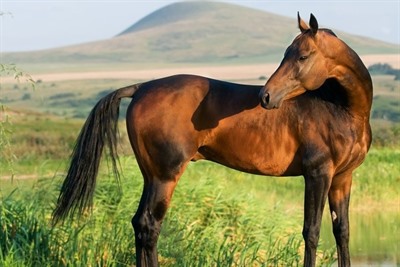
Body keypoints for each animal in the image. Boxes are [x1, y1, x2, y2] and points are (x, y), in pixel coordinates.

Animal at [52, 14, 372, 267]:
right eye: (287, 53)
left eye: (302, 56)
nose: (266, 96)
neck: (339, 107)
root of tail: (142, 87)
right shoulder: (317, 174)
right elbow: (312, 231)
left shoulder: (342, 178)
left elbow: (342, 231)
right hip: (165, 176)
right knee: (149, 225)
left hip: (151, 175)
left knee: (139, 224)